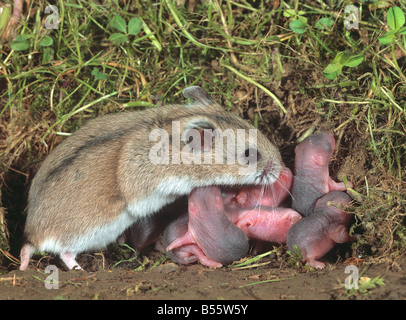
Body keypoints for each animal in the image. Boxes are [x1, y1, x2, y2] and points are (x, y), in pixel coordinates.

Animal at [19, 85, 286, 270]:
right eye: (250, 154)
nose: (283, 170)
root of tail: (32, 234)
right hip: (82, 234)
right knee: (64, 253)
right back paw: (78, 269)